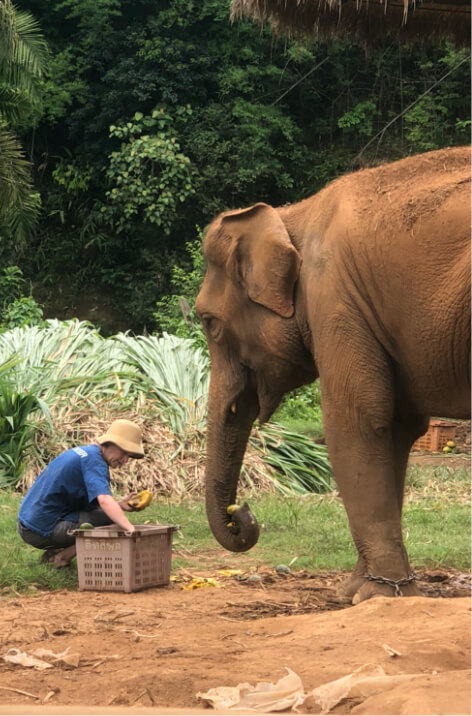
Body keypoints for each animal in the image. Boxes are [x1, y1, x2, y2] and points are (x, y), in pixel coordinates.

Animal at [194, 147, 470, 604]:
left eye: (209, 323)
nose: (244, 512)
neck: (294, 215)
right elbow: (396, 429)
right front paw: (359, 589)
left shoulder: (335, 298)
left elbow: (356, 421)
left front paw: (376, 596)